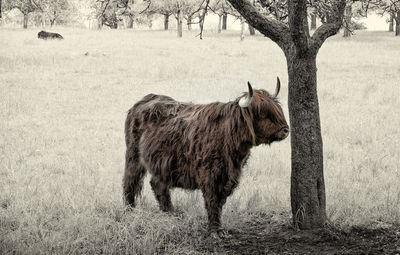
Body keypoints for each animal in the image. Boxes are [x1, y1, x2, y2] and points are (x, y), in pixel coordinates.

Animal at [123, 79, 290, 233]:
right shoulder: (210, 173)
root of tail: (146, 99)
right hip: (134, 156)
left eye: (278, 110)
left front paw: (218, 226)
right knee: (130, 181)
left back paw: (170, 213)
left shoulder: (228, 176)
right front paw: (214, 229)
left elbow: (220, 201)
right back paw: (129, 210)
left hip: (161, 163)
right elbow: (212, 199)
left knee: (158, 184)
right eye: (263, 113)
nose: (286, 130)